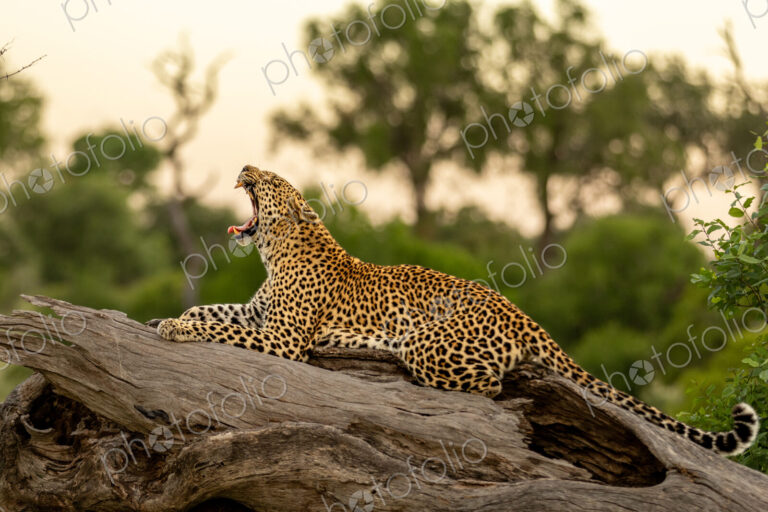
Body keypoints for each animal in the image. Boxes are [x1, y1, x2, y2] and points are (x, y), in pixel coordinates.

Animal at [155, 165, 759, 456]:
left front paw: (176, 330)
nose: (245, 166)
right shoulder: (258, 315)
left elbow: (222, 333)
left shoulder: (282, 338)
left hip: (427, 344)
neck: (274, 250)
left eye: (273, 181)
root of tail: (515, 309)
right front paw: (168, 319)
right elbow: (213, 311)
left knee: (490, 384)